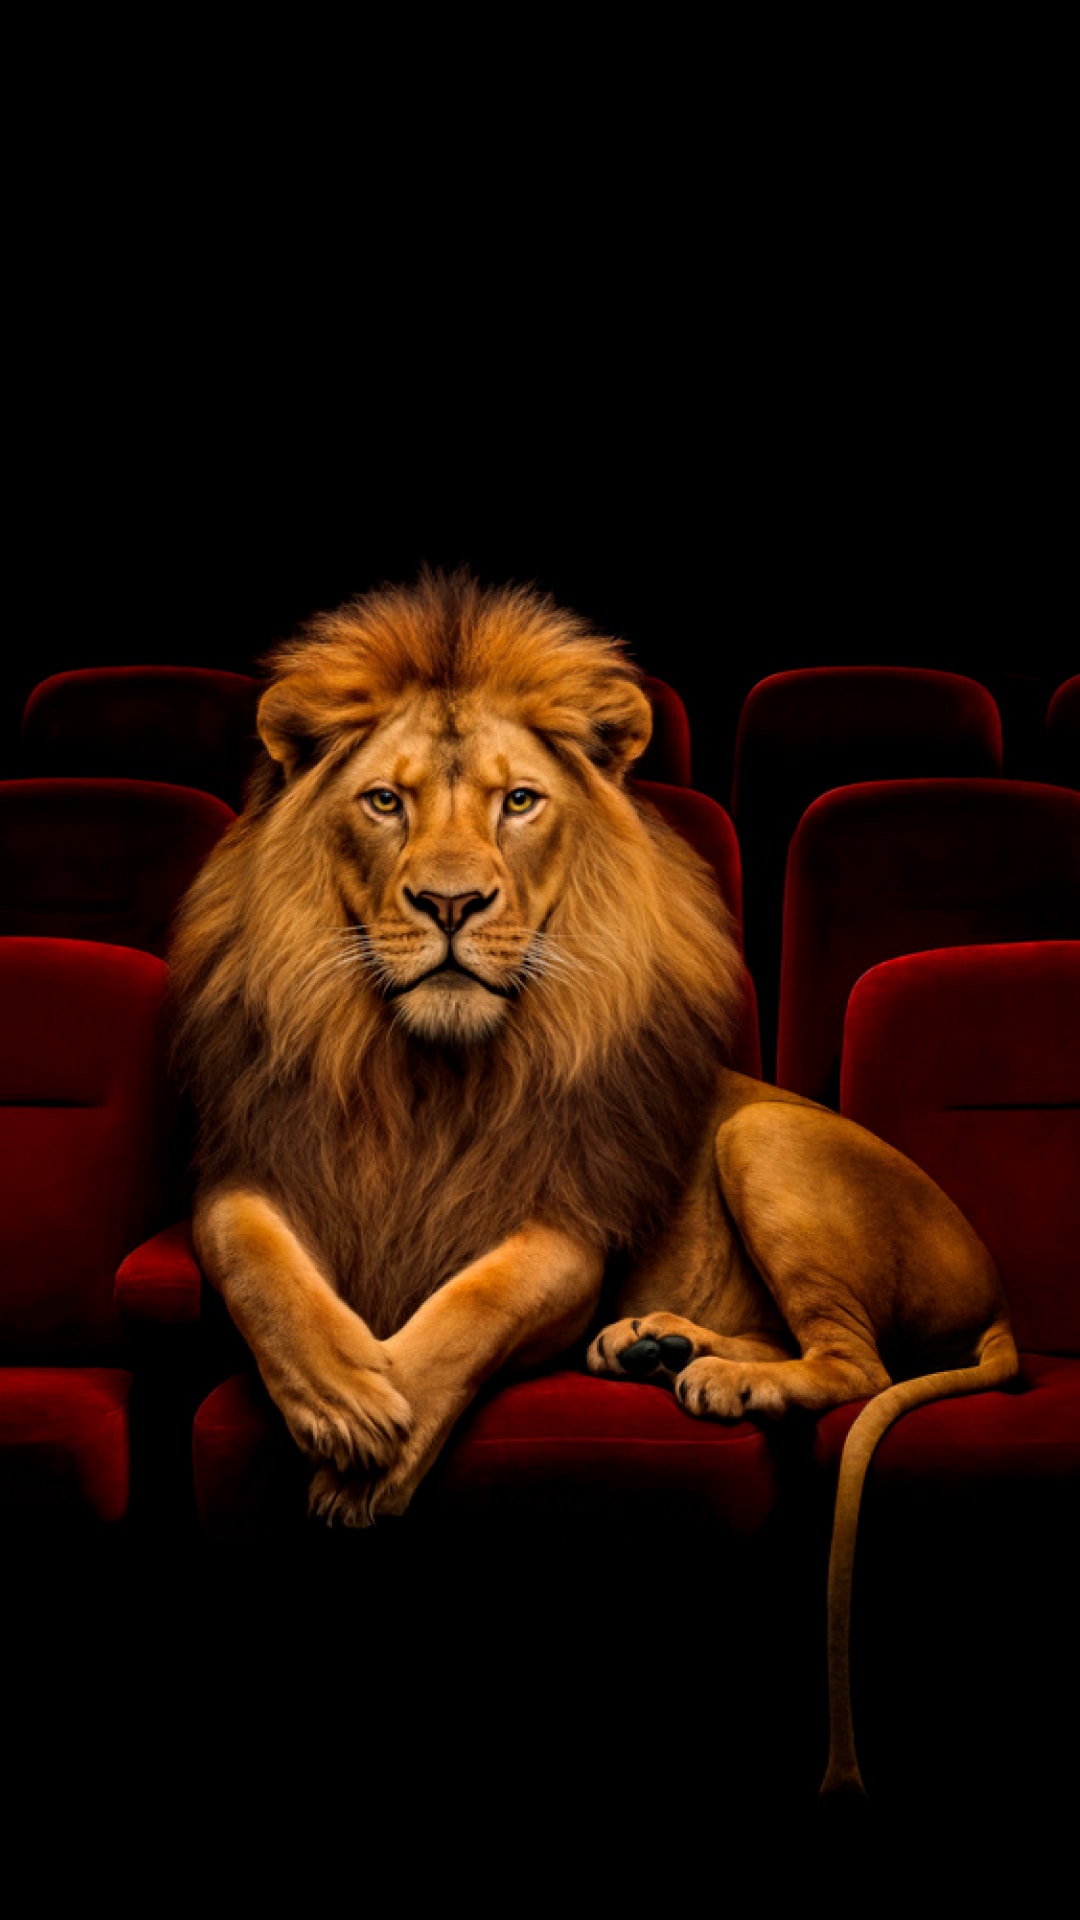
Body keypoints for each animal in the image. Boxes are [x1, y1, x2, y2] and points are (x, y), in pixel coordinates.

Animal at [167, 564, 1019, 1804]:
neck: (421, 1074)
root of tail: (998, 1289)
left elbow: (472, 1308)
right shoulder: (246, 1174)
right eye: (384, 804)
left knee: (856, 1362)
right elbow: (255, 1264)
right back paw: (659, 1347)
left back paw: (726, 1381)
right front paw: (340, 1399)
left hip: (763, 1138)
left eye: (520, 803)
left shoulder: (565, 1232)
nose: (451, 904)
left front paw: (376, 1441)